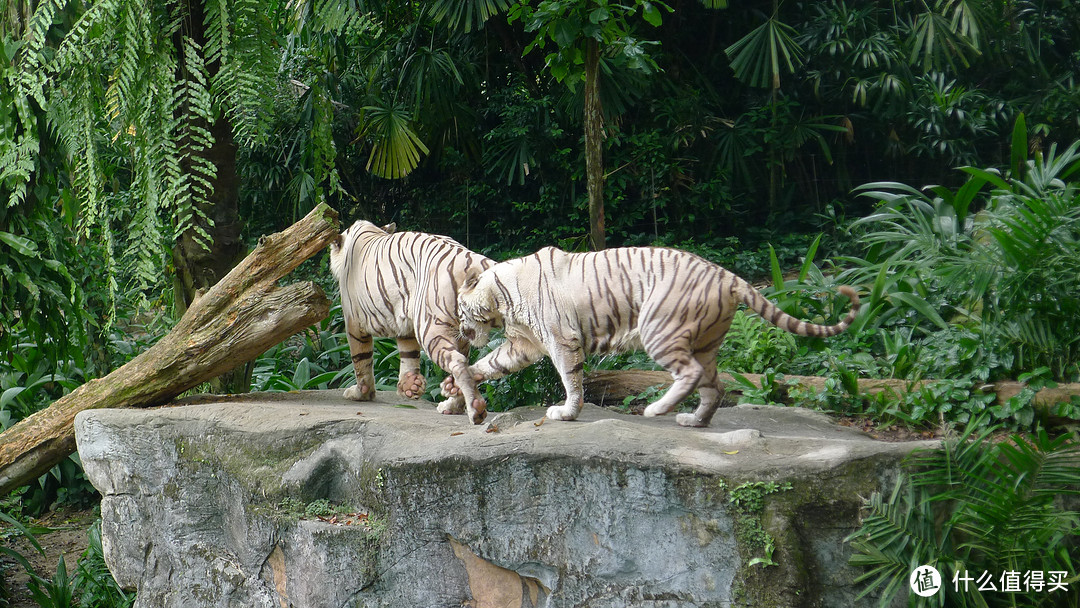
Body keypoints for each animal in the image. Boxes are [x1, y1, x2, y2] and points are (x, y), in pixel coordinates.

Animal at [328, 221, 494, 425]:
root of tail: (471, 257)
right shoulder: (404, 322)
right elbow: (408, 354)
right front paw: (410, 386)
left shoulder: (353, 320)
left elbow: (361, 359)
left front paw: (361, 393)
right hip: (462, 333)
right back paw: (451, 406)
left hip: (430, 328)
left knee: (458, 362)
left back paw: (475, 409)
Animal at [451, 246, 855, 427]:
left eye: (459, 310)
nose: (460, 331)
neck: (502, 300)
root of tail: (727, 275)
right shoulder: (524, 345)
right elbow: (490, 364)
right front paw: (456, 385)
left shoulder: (561, 340)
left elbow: (571, 379)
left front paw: (566, 412)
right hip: (706, 343)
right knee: (715, 386)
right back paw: (694, 420)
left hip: (658, 328)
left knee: (690, 374)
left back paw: (657, 409)